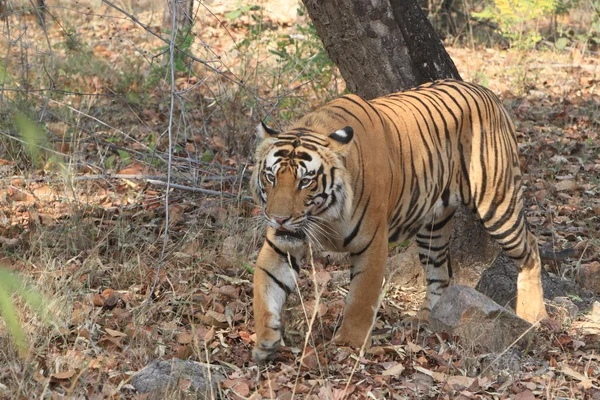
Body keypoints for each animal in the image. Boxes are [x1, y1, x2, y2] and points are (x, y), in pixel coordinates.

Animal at [248, 78, 552, 362]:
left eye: (306, 181)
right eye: (271, 177)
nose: (279, 218)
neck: (324, 216)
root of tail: (487, 92)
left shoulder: (372, 243)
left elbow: (361, 298)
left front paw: (348, 345)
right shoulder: (281, 244)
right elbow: (265, 288)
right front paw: (265, 341)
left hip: (498, 204)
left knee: (530, 249)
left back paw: (534, 315)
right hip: (433, 228)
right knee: (440, 272)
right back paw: (425, 320)